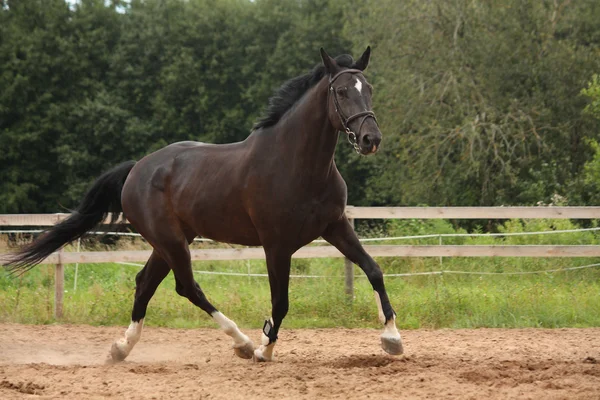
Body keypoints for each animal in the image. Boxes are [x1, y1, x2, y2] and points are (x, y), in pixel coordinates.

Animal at [3, 47, 404, 362]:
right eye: (341, 91)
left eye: (368, 89)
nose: (370, 139)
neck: (296, 164)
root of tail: (137, 168)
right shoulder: (276, 245)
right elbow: (281, 302)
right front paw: (264, 349)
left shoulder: (335, 226)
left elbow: (374, 270)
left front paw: (392, 339)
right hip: (170, 240)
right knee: (187, 287)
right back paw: (242, 343)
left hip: (170, 241)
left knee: (145, 283)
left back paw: (120, 349)